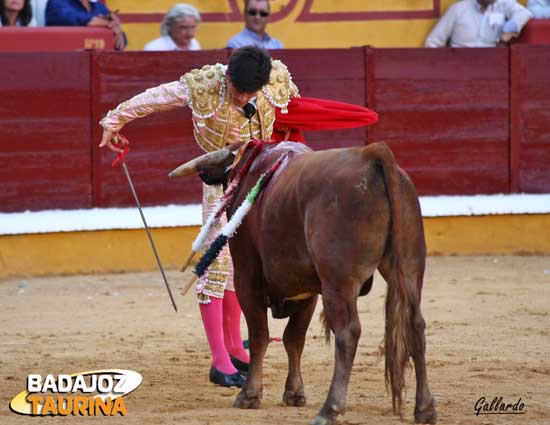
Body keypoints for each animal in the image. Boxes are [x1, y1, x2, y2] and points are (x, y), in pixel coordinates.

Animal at [172, 142, 440, 424]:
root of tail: (371, 155)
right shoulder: (308, 291)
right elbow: (294, 339)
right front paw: (294, 393)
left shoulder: (247, 278)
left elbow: (259, 336)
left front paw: (249, 395)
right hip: (409, 269)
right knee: (416, 325)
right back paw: (425, 408)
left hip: (339, 282)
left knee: (348, 332)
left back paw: (330, 408)